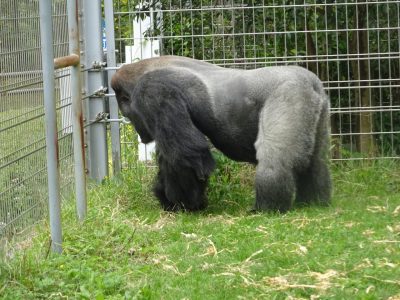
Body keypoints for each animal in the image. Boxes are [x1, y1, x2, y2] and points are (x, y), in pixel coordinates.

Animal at [111, 55, 332, 212]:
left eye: (128, 114)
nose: (141, 135)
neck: (143, 69)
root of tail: (311, 83)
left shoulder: (152, 90)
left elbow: (187, 157)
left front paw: (184, 204)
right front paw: (168, 199)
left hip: (289, 93)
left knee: (275, 158)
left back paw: (268, 207)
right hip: (318, 105)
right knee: (317, 159)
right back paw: (314, 201)